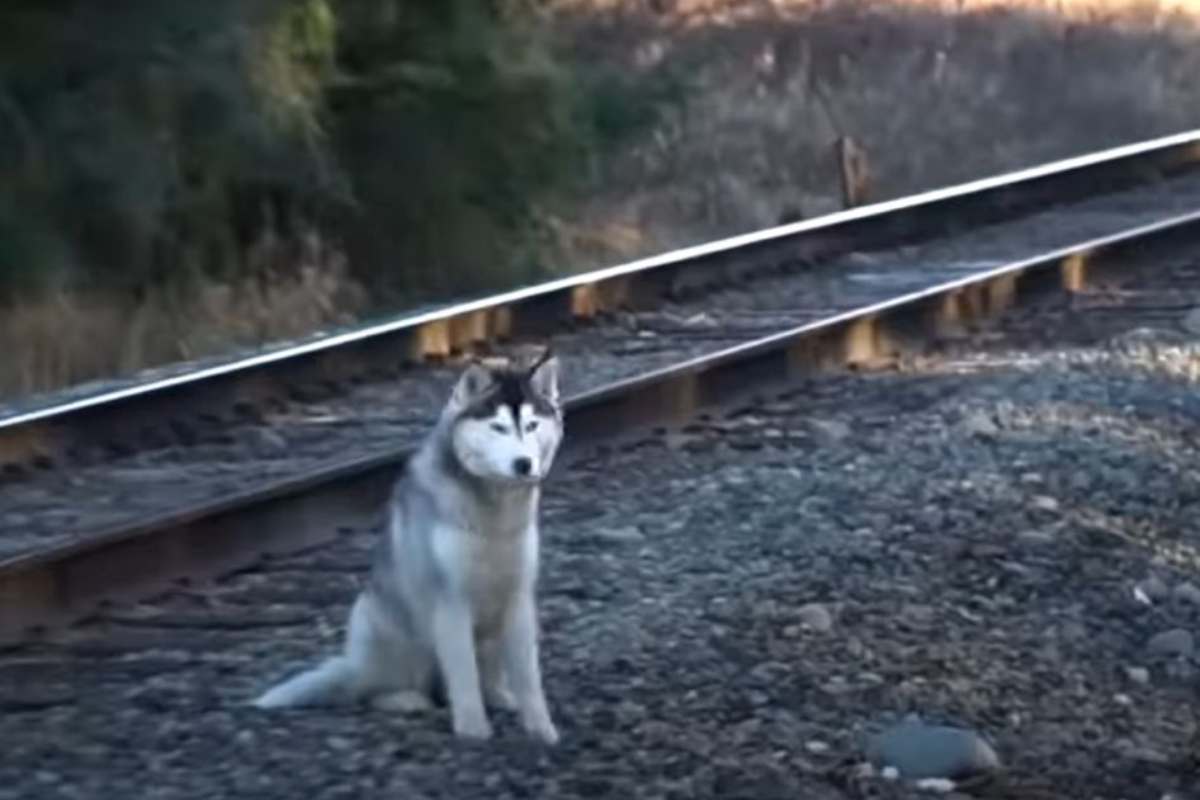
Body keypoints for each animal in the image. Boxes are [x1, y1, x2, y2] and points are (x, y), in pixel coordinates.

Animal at [249, 350, 566, 743]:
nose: (523, 464)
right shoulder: (449, 601)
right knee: (371, 691)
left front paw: (542, 730)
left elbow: (528, 676)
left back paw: (498, 695)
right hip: (386, 626)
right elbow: (463, 674)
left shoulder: (518, 596)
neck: (494, 509)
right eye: (498, 428)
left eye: (533, 425)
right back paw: (404, 699)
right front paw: (473, 730)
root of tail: (353, 666)